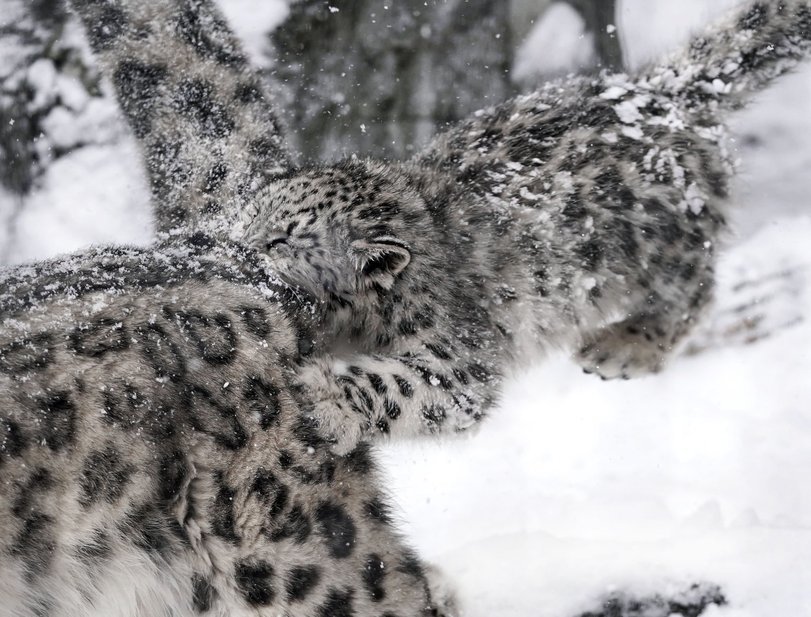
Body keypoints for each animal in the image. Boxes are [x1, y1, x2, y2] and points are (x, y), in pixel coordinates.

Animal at [244, 0, 811, 452]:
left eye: (281, 240)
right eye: (252, 215)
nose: (239, 246)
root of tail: (662, 92)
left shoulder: (459, 356)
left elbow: (399, 386)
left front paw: (323, 401)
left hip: (665, 247)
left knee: (693, 290)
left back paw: (623, 346)